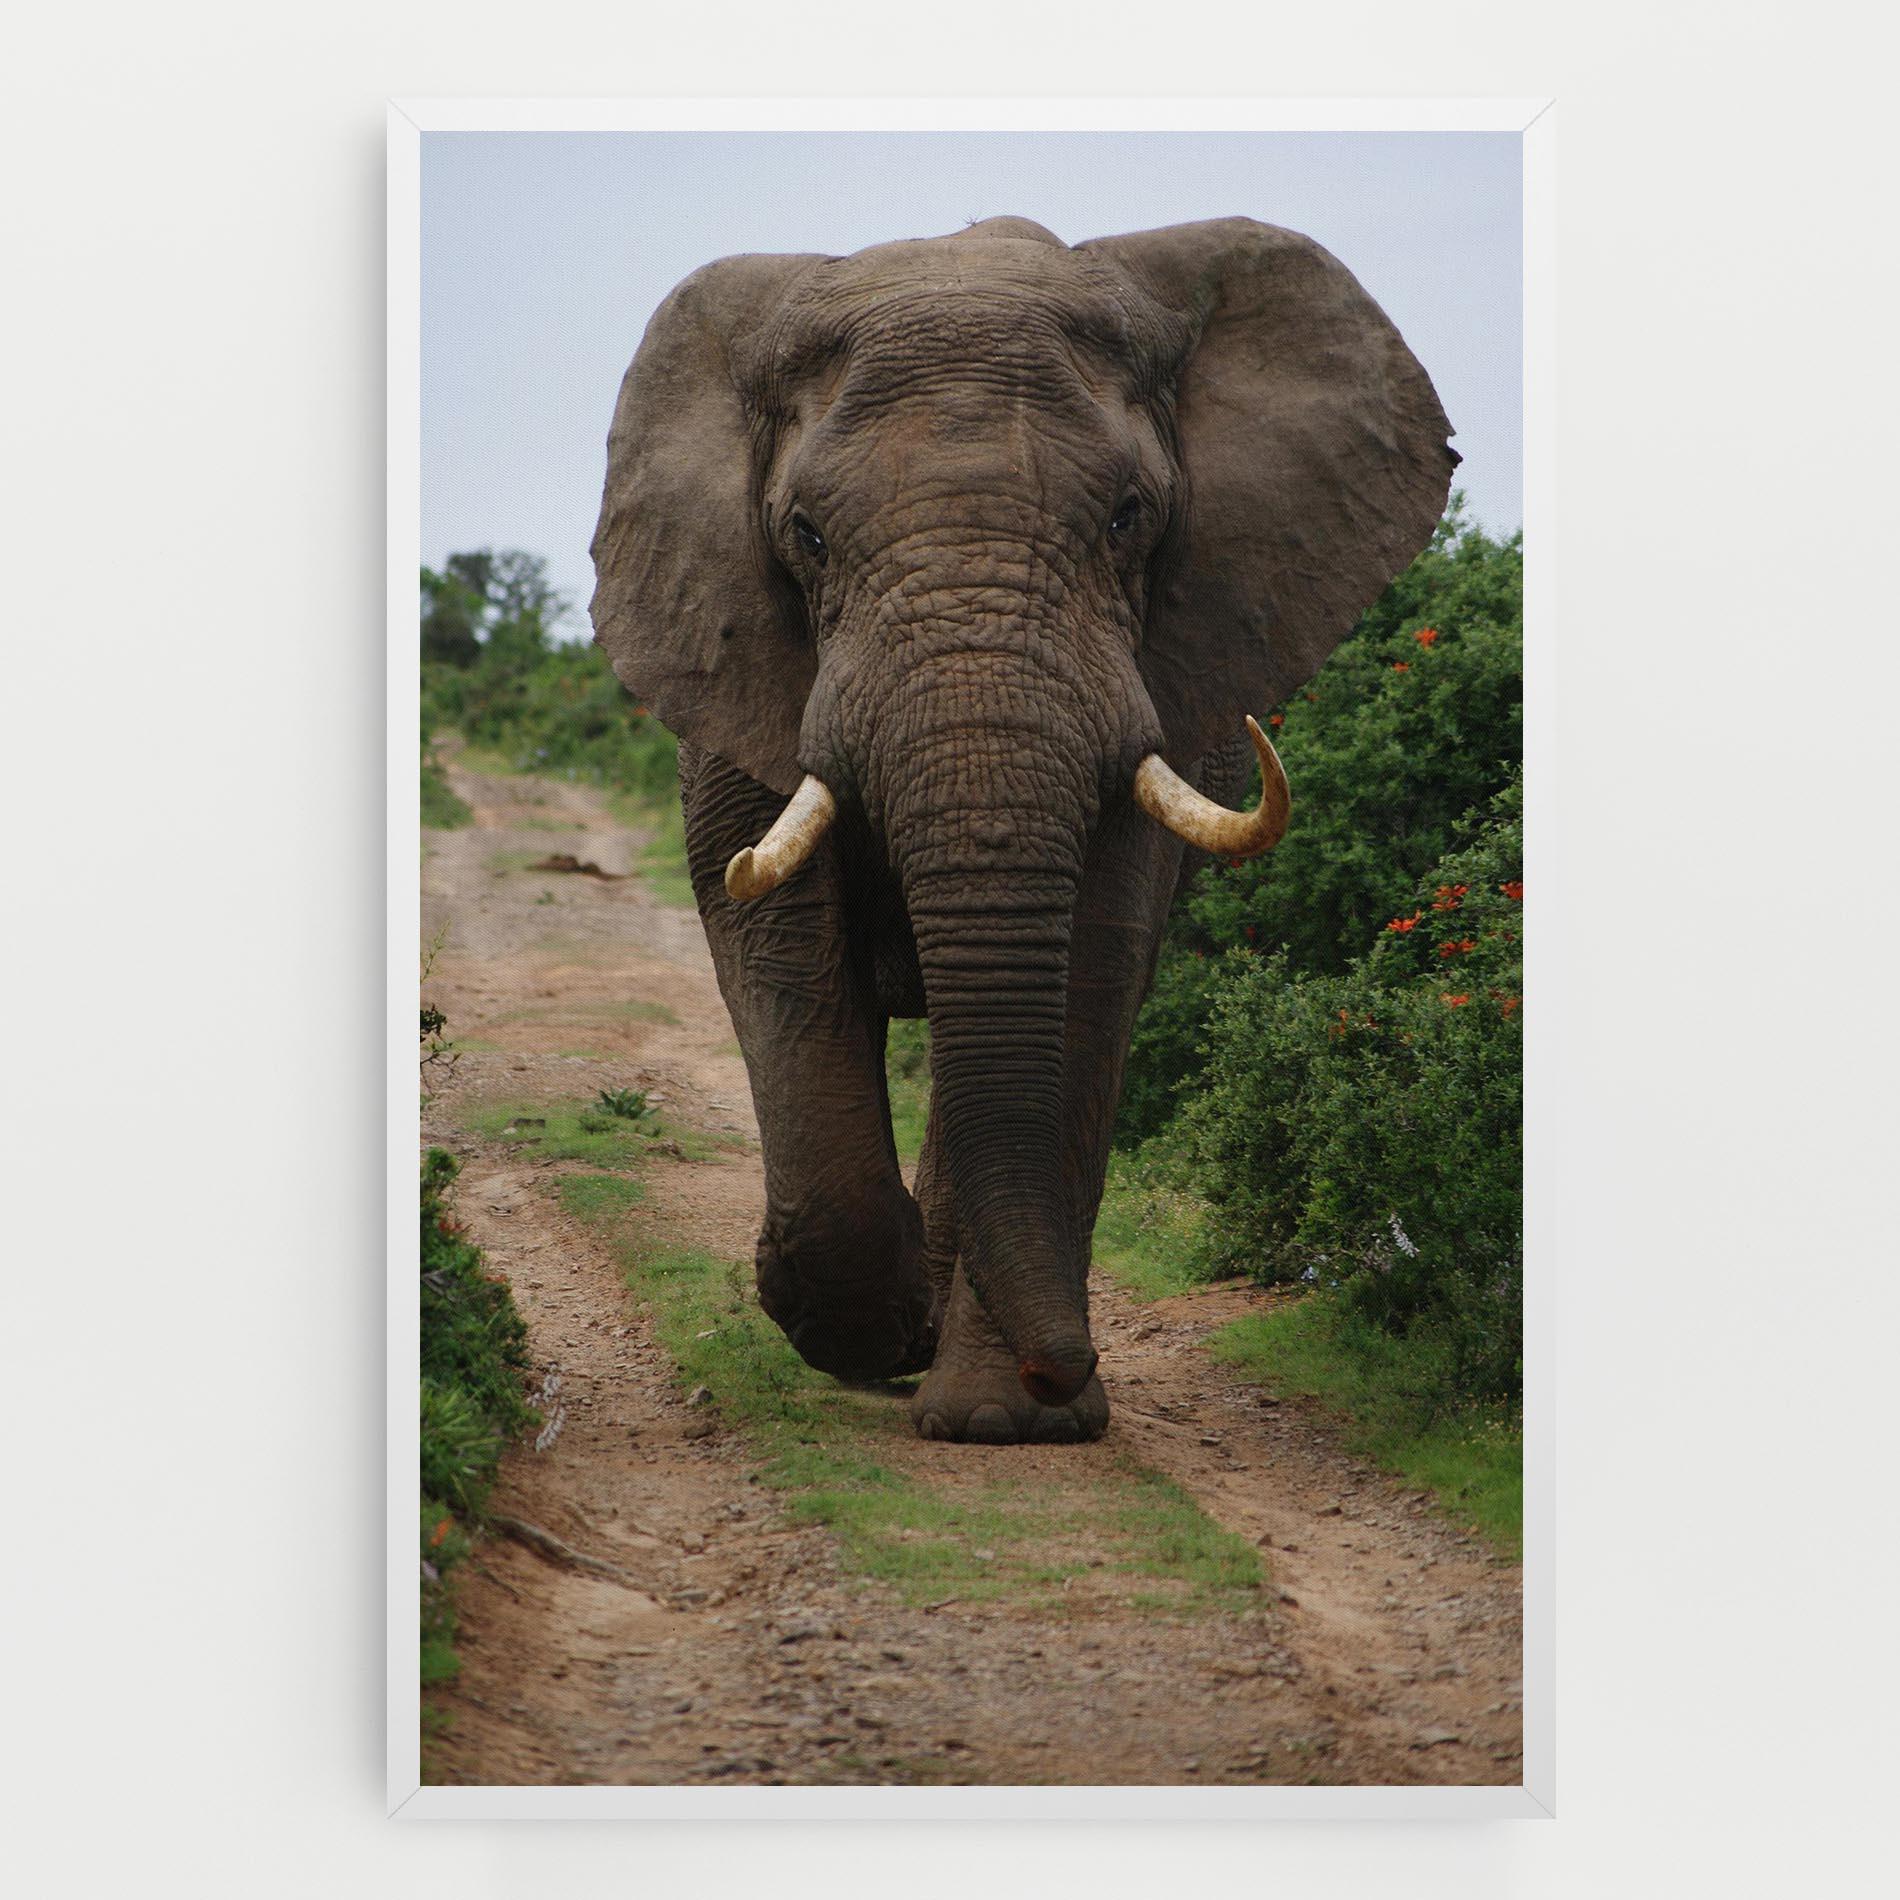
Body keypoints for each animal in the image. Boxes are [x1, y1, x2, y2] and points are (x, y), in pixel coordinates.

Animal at [589, 215, 1455, 1444]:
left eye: (1130, 518)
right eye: (805, 535)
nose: (1066, 1364)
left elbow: (1091, 962)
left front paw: (1009, 1421)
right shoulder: (732, 660)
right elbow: (774, 940)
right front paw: (856, 1325)